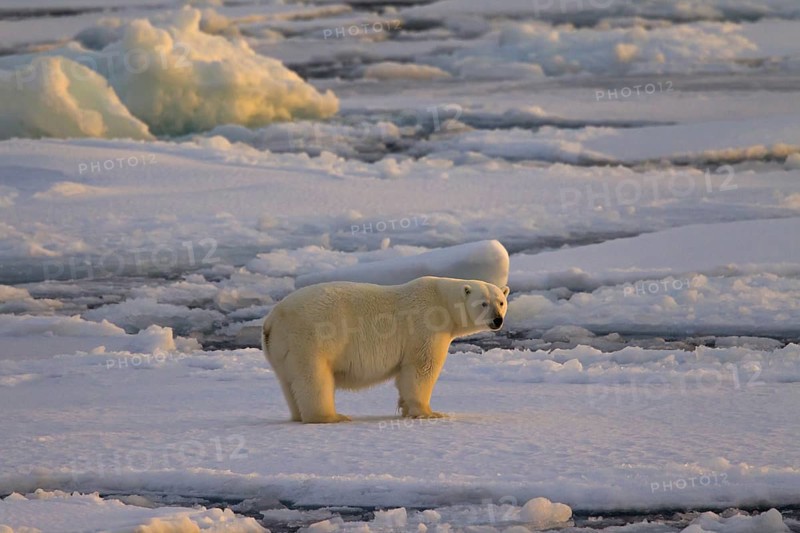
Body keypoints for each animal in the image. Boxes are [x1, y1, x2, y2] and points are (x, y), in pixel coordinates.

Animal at [261, 276, 509, 423]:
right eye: (483, 303)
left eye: (501, 301)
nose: (497, 320)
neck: (442, 301)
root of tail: (272, 320)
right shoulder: (425, 326)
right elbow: (421, 368)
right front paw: (429, 412)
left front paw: (407, 409)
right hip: (311, 339)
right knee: (314, 378)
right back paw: (332, 416)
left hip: (281, 350)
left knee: (288, 382)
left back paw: (298, 415)